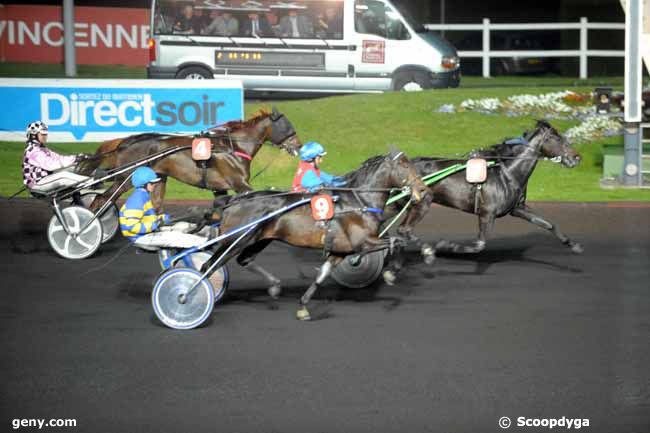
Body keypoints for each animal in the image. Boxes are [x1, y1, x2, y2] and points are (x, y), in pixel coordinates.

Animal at [80, 106, 302, 211]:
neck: (233, 147)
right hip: (126, 178)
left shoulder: (219, 187)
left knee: (156, 204)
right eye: (287, 126)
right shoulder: (240, 184)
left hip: (158, 178)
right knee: (102, 198)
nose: (299, 146)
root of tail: (125, 142)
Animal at [201, 149, 426, 320]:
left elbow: (321, 275)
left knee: (244, 260)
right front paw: (391, 272)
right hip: (234, 240)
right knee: (208, 265)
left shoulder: (340, 251)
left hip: (260, 240)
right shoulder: (363, 242)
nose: (423, 190)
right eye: (405, 166)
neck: (359, 200)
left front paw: (303, 306)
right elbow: (397, 241)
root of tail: (234, 200)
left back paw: (274, 285)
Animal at [382, 120, 580, 282]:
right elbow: (479, 245)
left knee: (399, 230)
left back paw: (394, 268)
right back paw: (425, 253)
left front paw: (573, 245)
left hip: (402, 205)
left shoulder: (517, 209)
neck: (507, 172)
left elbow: (548, 224)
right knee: (404, 230)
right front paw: (445, 245)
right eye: (557, 138)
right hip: (422, 203)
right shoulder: (487, 213)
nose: (577, 157)